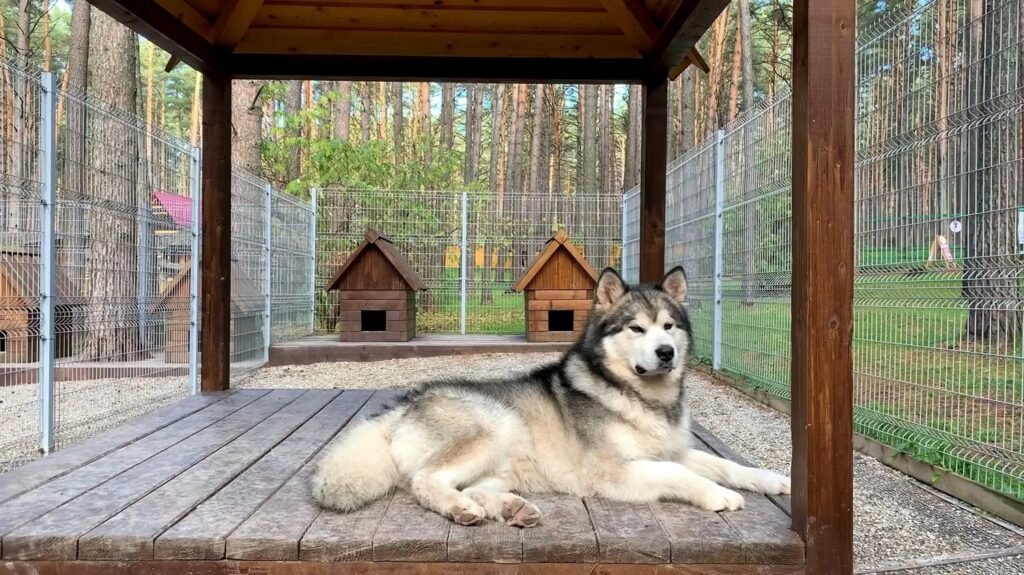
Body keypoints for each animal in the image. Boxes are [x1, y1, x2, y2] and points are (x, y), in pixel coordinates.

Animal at [311, 266, 790, 523]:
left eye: (669, 326)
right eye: (636, 328)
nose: (666, 352)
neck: (642, 398)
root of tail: (406, 402)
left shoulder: (672, 449)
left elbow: (723, 464)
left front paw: (772, 479)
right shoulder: (616, 471)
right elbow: (682, 474)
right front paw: (716, 495)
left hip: (507, 461)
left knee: (478, 486)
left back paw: (509, 508)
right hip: (494, 425)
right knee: (426, 481)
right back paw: (460, 507)